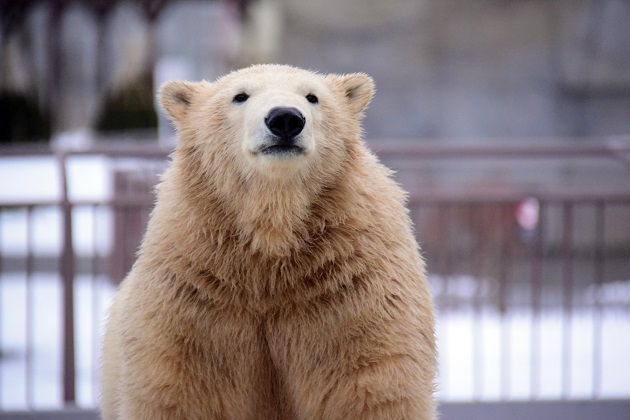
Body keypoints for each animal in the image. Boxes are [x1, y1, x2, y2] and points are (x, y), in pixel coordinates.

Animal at [101, 63, 436, 420]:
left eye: (312, 96)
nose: (285, 119)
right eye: (240, 96)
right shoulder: (194, 294)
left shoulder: (353, 288)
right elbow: (178, 390)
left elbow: (373, 385)